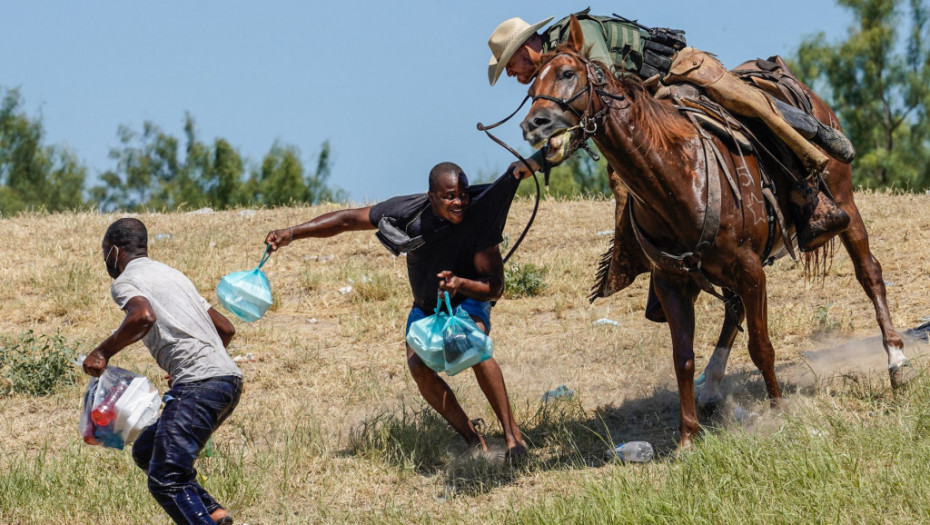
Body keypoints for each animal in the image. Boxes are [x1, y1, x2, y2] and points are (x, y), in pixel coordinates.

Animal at [520, 17, 908, 450]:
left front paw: (778, 411)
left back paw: (896, 361)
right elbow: (683, 358)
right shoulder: (672, 282)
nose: (533, 124)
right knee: (733, 309)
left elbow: (761, 346)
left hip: (844, 203)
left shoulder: (750, 269)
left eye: (568, 74)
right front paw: (687, 437)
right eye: (531, 86)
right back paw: (711, 388)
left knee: (869, 272)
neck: (677, 175)